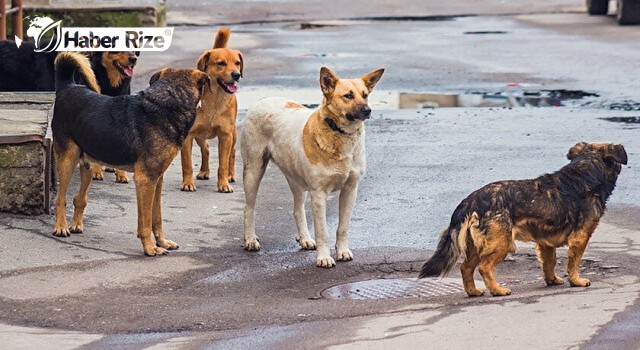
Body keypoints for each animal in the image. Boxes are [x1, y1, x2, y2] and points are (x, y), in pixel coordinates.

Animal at [52, 51, 209, 254]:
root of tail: (68, 86)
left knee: (79, 197)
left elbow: (156, 218)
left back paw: (76, 224)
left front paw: (162, 242)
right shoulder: (145, 180)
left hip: (87, 163)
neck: (168, 103)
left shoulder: (157, 180)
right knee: (60, 198)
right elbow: (145, 222)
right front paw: (150, 248)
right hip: (67, 160)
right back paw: (61, 227)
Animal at [181, 27, 244, 193]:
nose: (236, 75)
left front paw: (223, 184)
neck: (215, 99)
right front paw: (187, 183)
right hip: (199, 135)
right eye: (221, 63)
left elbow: (223, 164)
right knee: (206, 148)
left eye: (237, 63)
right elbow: (187, 164)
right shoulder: (188, 136)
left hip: (233, 135)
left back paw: (230, 175)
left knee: (232, 153)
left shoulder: (225, 136)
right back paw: (204, 171)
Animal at [239, 66, 380, 268]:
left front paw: (342, 251)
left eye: (365, 95)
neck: (339, 134)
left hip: (296, 179)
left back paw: (304, 238)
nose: (368, 110)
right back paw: (250, 239)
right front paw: (324, 257)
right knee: (249, 208)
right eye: (348, 96)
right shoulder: (319, 194)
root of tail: (262, 100)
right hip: (253, 171)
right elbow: (322, 231)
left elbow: (343, 227)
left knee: (297, 210)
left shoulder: (350, 190)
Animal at [418, 142, 628, 296]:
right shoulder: (580, 237)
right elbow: (574, 262)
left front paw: (552, 280)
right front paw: (576, 281)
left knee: (465, 268)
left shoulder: (545, 243)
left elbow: (549, 263)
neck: (585, 173)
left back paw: (473, 291)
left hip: (476, 246)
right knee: (484, 268)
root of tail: (470, 201)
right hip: (501, 243)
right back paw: (497, 290)